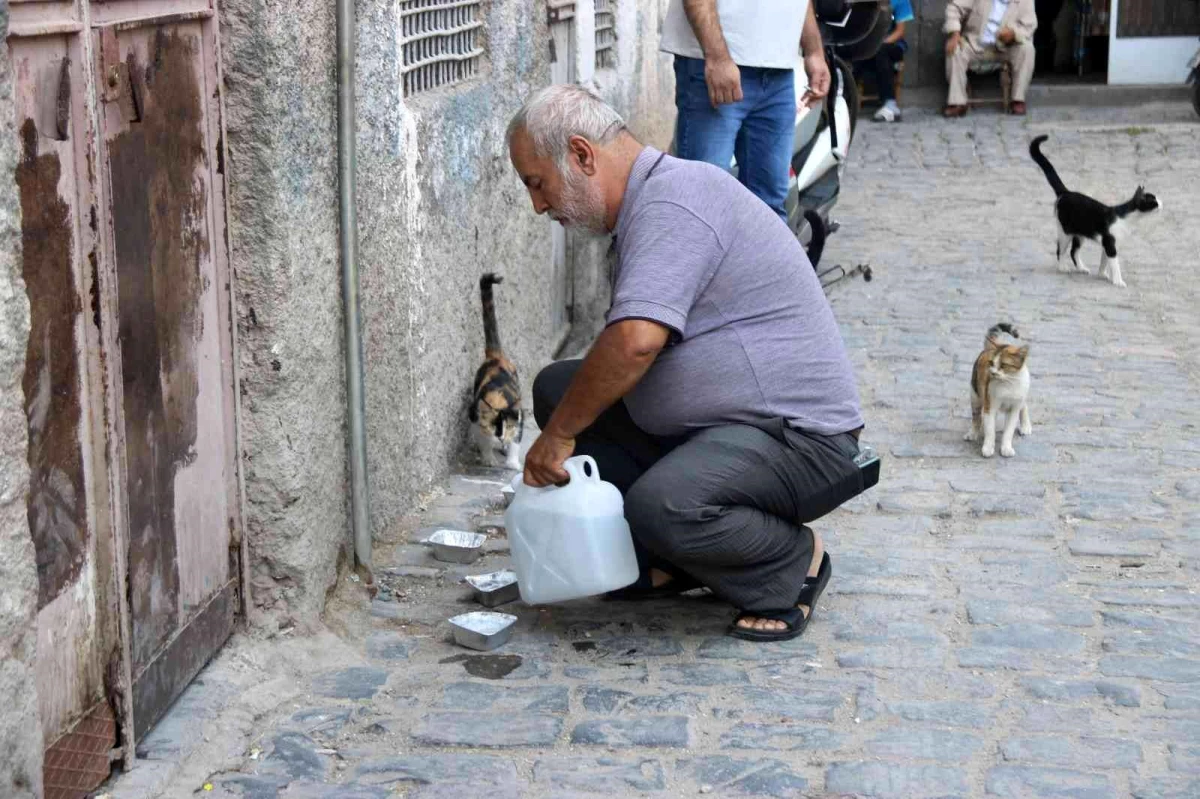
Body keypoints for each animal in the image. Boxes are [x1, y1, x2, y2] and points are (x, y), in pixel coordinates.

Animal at [468, 275, 525, 472]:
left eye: (507, 427)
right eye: (495, 428)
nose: (501, 438)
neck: (499, 396)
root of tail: (496, 356)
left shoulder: (518, 416)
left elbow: (516, 440)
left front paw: (513, 463)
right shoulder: (475, 416)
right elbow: (482, 437)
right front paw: (488, 458)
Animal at [964, 321, 1032, 458]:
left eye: (1004, 365)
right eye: (991, 363)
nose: (993, 373)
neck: (1009, 384)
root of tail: (988, 348)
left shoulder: (1014, 408)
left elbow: (1008, 431)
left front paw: (1006, 448)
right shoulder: (990, 405)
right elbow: (990, 429)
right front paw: (988, 447)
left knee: (1024, 405)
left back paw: (1025, 426)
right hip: (975, 395)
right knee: (976, 418)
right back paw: (973, 433)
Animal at [1027, 131, 1156, 287]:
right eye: (1153, 200)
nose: (1161, 203)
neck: (1125, 218)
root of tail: (1066, 192)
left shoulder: (1107, 244)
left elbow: (1104, 261)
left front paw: (1102, 275)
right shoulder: (1110, 244)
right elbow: (1115, 264)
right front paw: (1118, 281)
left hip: (1080, 234)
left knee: (1073, 252)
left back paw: (1082, 268)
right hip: (1065, 232)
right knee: (1060, 250)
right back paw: (1062, 267)